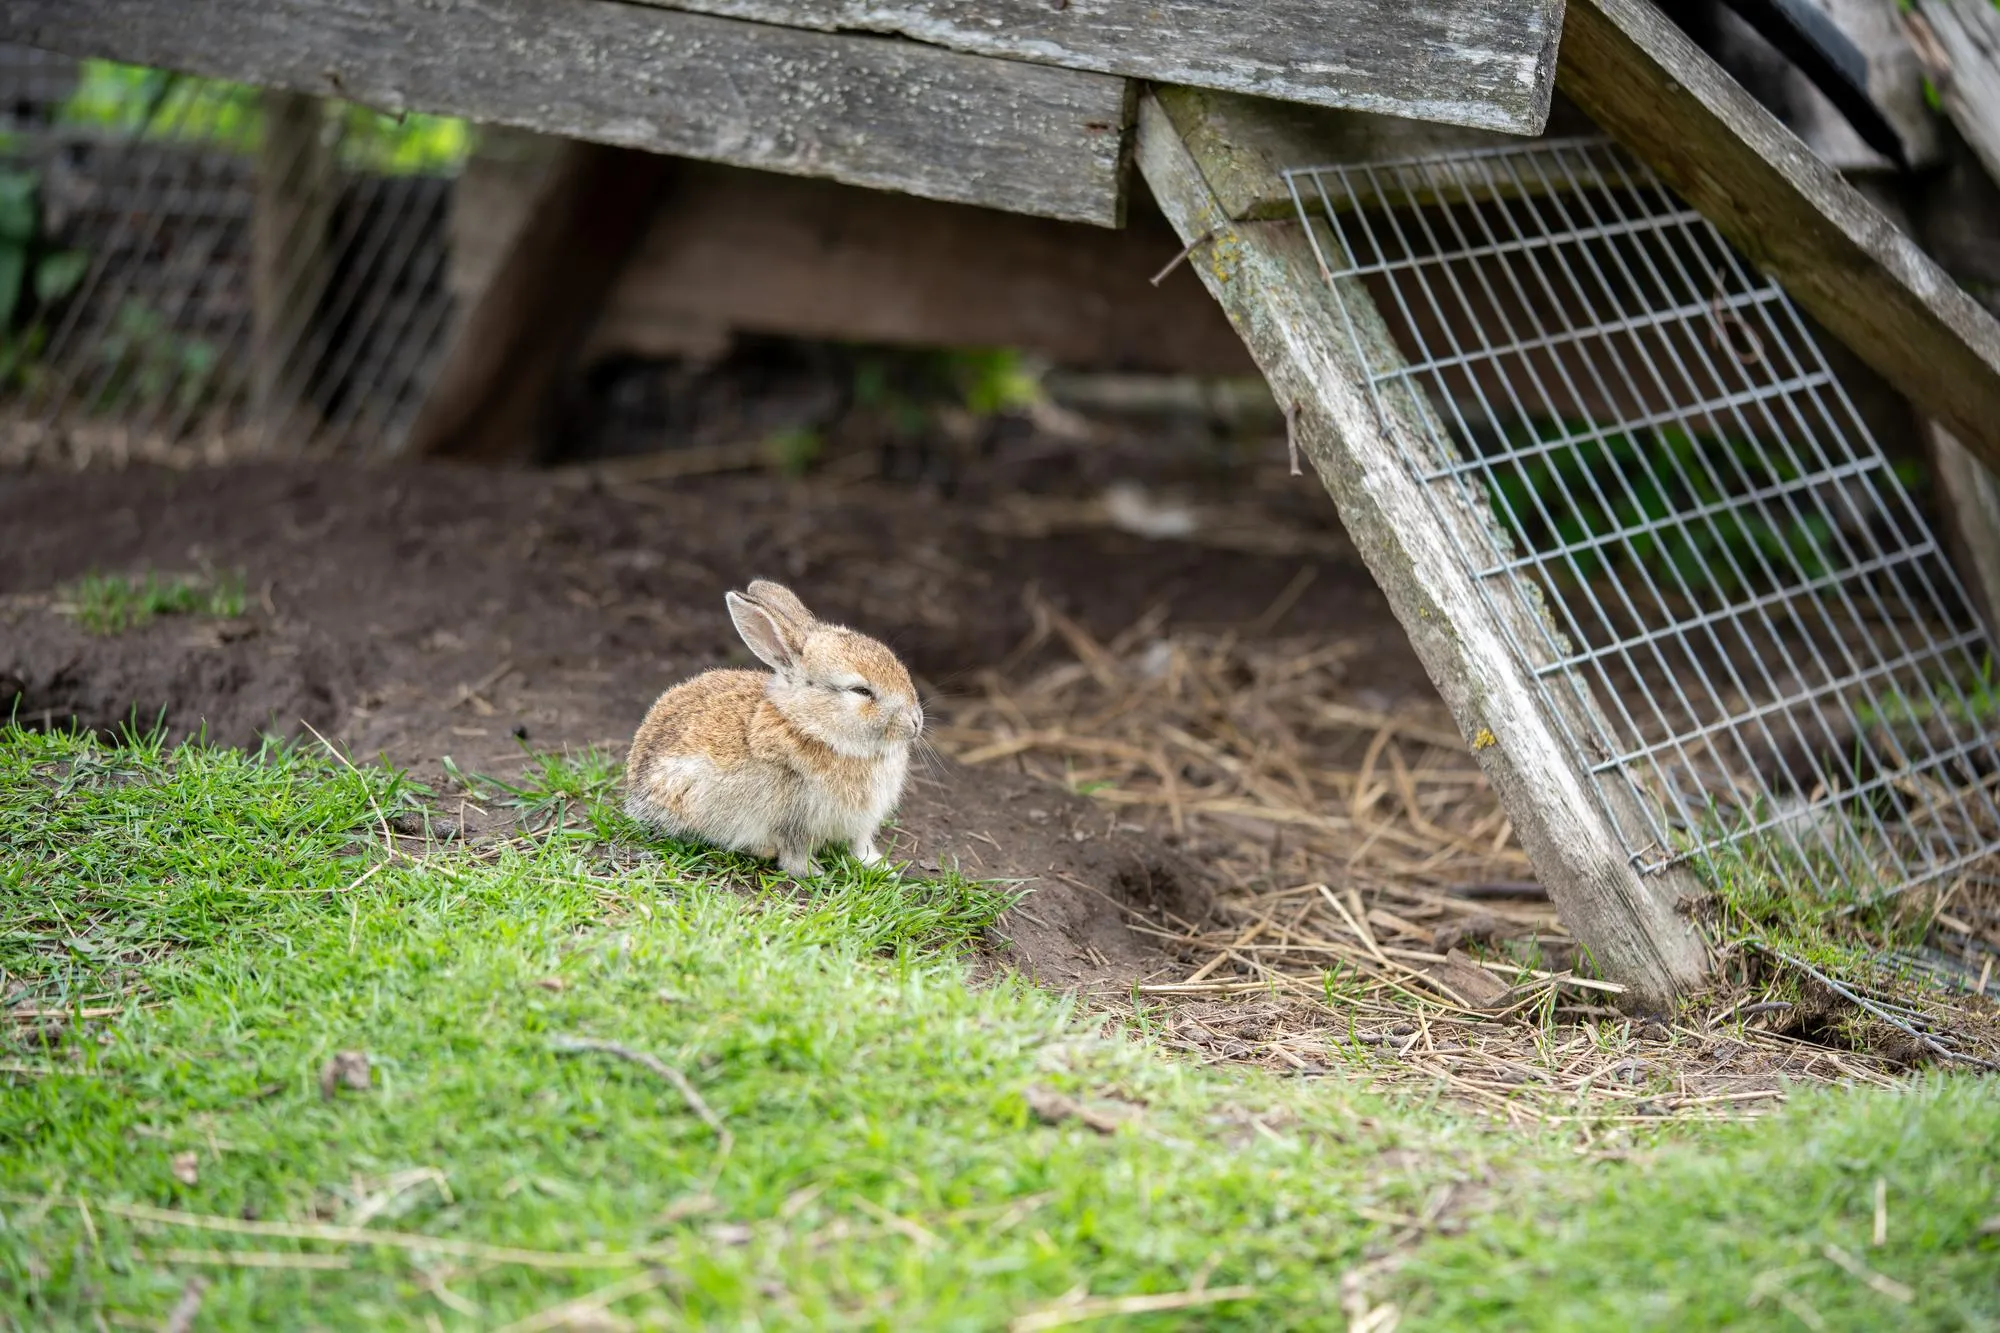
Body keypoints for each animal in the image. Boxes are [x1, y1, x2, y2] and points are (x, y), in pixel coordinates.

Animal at [624, 579, 924, 878]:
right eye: (860, 691)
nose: (916, 721)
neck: (811, 726)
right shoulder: (795, 819)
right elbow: (795, 852)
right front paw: (812, 873)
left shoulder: (861, 824)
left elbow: (860, 845)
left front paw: (881, 868)